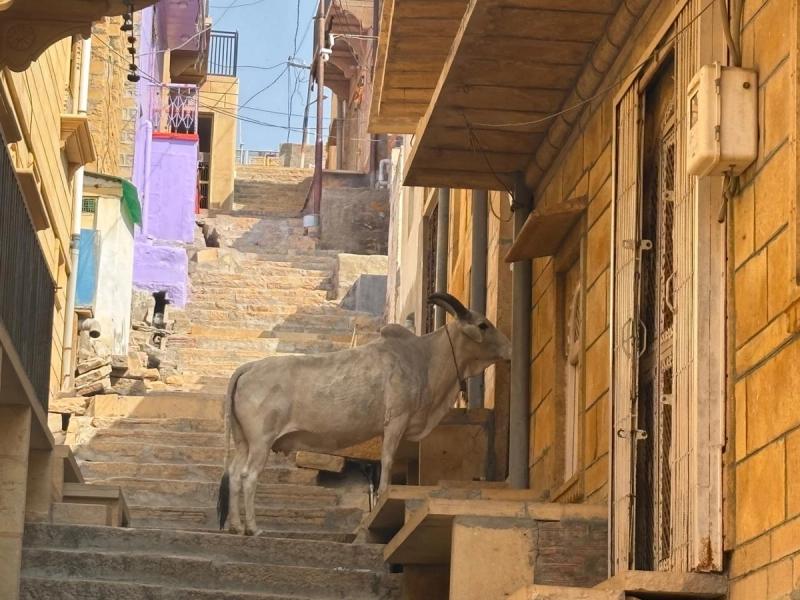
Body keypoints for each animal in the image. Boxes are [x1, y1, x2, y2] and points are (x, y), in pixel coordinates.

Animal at [217, 293, 512, 535]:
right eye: (483, 324)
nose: (509, 347)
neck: (423, 358)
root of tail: (248, 368)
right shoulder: (396, 420)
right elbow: (388, 460)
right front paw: (382, 498)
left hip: (243, 441)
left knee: (233, 474)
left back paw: (234, 526)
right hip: (261, 441)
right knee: (248, 476)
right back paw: (252, 528)